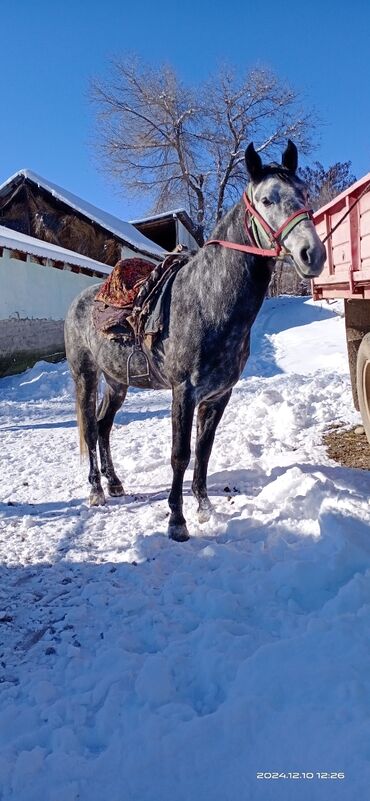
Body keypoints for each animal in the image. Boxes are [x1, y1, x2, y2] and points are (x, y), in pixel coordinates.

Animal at [65, 142, 326, 544]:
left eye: (305, 193)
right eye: (267, 199)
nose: (312, 254)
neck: (208, 301)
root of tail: (78, 302)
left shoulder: (219, 395)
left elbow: (204, 450)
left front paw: (204, 508)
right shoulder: (183, 392)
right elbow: (181, 454)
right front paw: (177, 520)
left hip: (117, 382)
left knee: (104, 425)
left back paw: (115, 483)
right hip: (86, 377)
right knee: (91, 429)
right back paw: (96, 490)